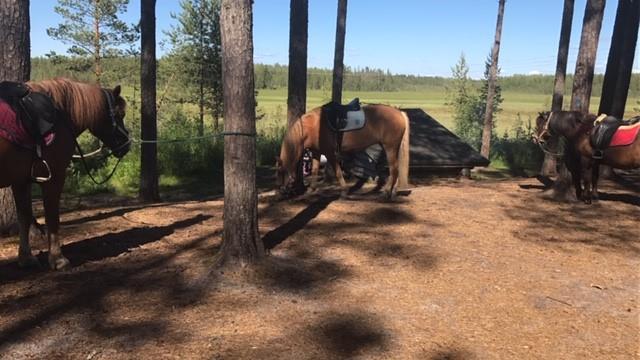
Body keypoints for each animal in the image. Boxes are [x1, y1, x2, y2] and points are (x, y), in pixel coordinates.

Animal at [0, 79, 130, 270]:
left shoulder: (21, 181)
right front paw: (58, 259)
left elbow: (24, 217)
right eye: (120, 113)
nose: (126, 144)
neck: (60, 114)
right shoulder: (54, 177)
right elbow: (52, 218)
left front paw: (26, 258)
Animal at [276, 102, 410, 198]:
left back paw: (387, 191)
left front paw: (344, 192)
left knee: (394, 169)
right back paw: (393, 192)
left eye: (281, 172)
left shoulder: (330, 153)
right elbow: (314, 170)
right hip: (393, 148)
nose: (281, 191)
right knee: (397, 168)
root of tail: (399, 112)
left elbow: (338, 172)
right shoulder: (316, 152)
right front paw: (311, 190)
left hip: (390, 147)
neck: (314, 126)